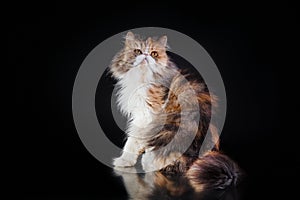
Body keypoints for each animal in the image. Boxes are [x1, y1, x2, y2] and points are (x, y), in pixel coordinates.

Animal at [109, 31, 240, 189]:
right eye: (137, 51)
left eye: (154, 53)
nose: (146, 55)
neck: (142, 80)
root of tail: (198, 154)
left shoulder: (147, 115)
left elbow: (133, 140)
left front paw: (125, 160)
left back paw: (148, 161)